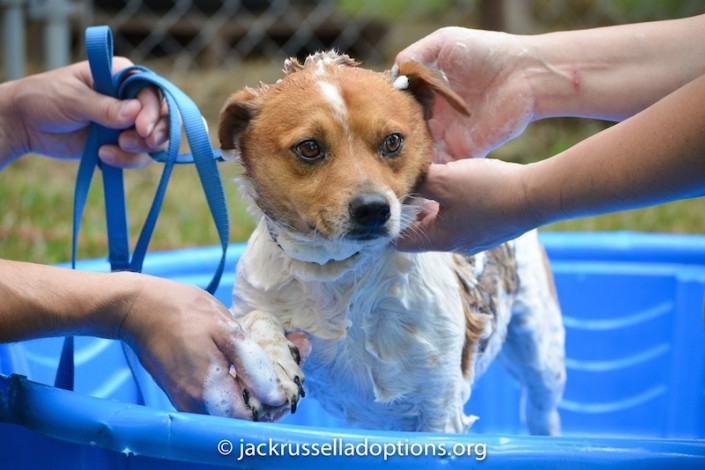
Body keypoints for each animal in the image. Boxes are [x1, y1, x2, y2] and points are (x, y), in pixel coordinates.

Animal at [217, 50, 564, 434]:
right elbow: (253, 319)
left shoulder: (439, 409)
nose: (372, 209)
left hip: (541, 353)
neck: (337, 273)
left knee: (542, 405)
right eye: (309, 147)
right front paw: (272, 361)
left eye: (393, 141)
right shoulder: (255, 302)